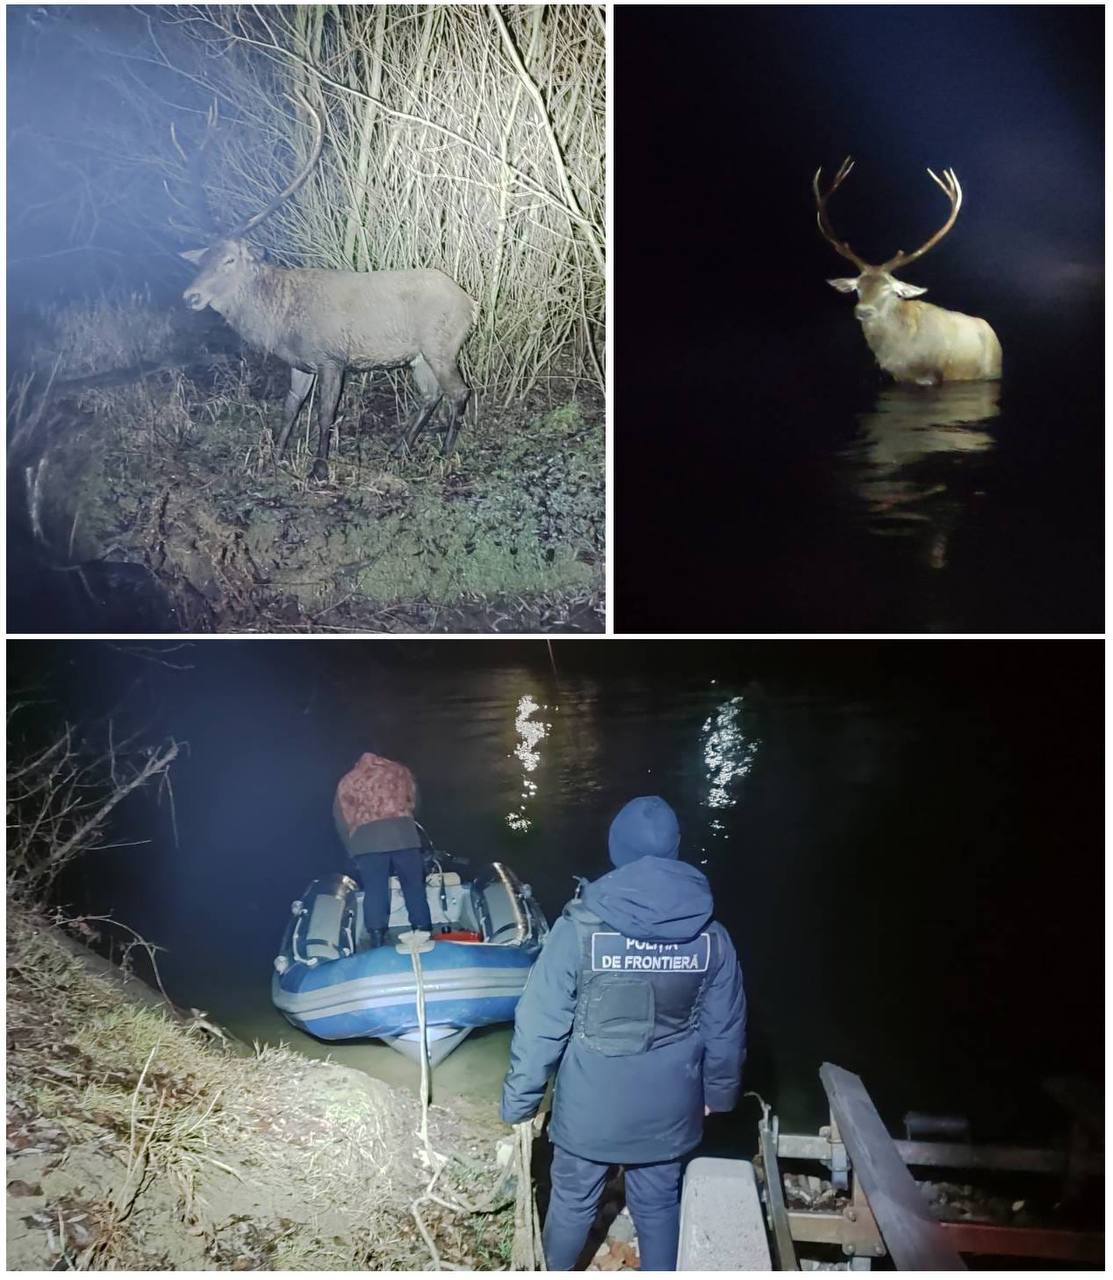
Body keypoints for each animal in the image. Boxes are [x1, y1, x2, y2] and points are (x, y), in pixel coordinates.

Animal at [179, 91, 475, 481]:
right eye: (201, 261)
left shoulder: (331, 358)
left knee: (459, 392)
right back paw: (400, 448)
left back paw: (444, 452)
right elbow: (290, 406)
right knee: (431, 395)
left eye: (229, 260)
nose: (190, 296)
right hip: (419, 356)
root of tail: (471, 305)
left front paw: (319, 468)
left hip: (441, 345)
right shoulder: (300, 364)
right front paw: (277, 455)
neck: (281, 318)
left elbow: (325, 414)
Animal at [813, 158, 1008, 384]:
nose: (864, 311)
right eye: (858, 287)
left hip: (992, 370)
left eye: (888, 289)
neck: (901, 354)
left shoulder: (932, 375)